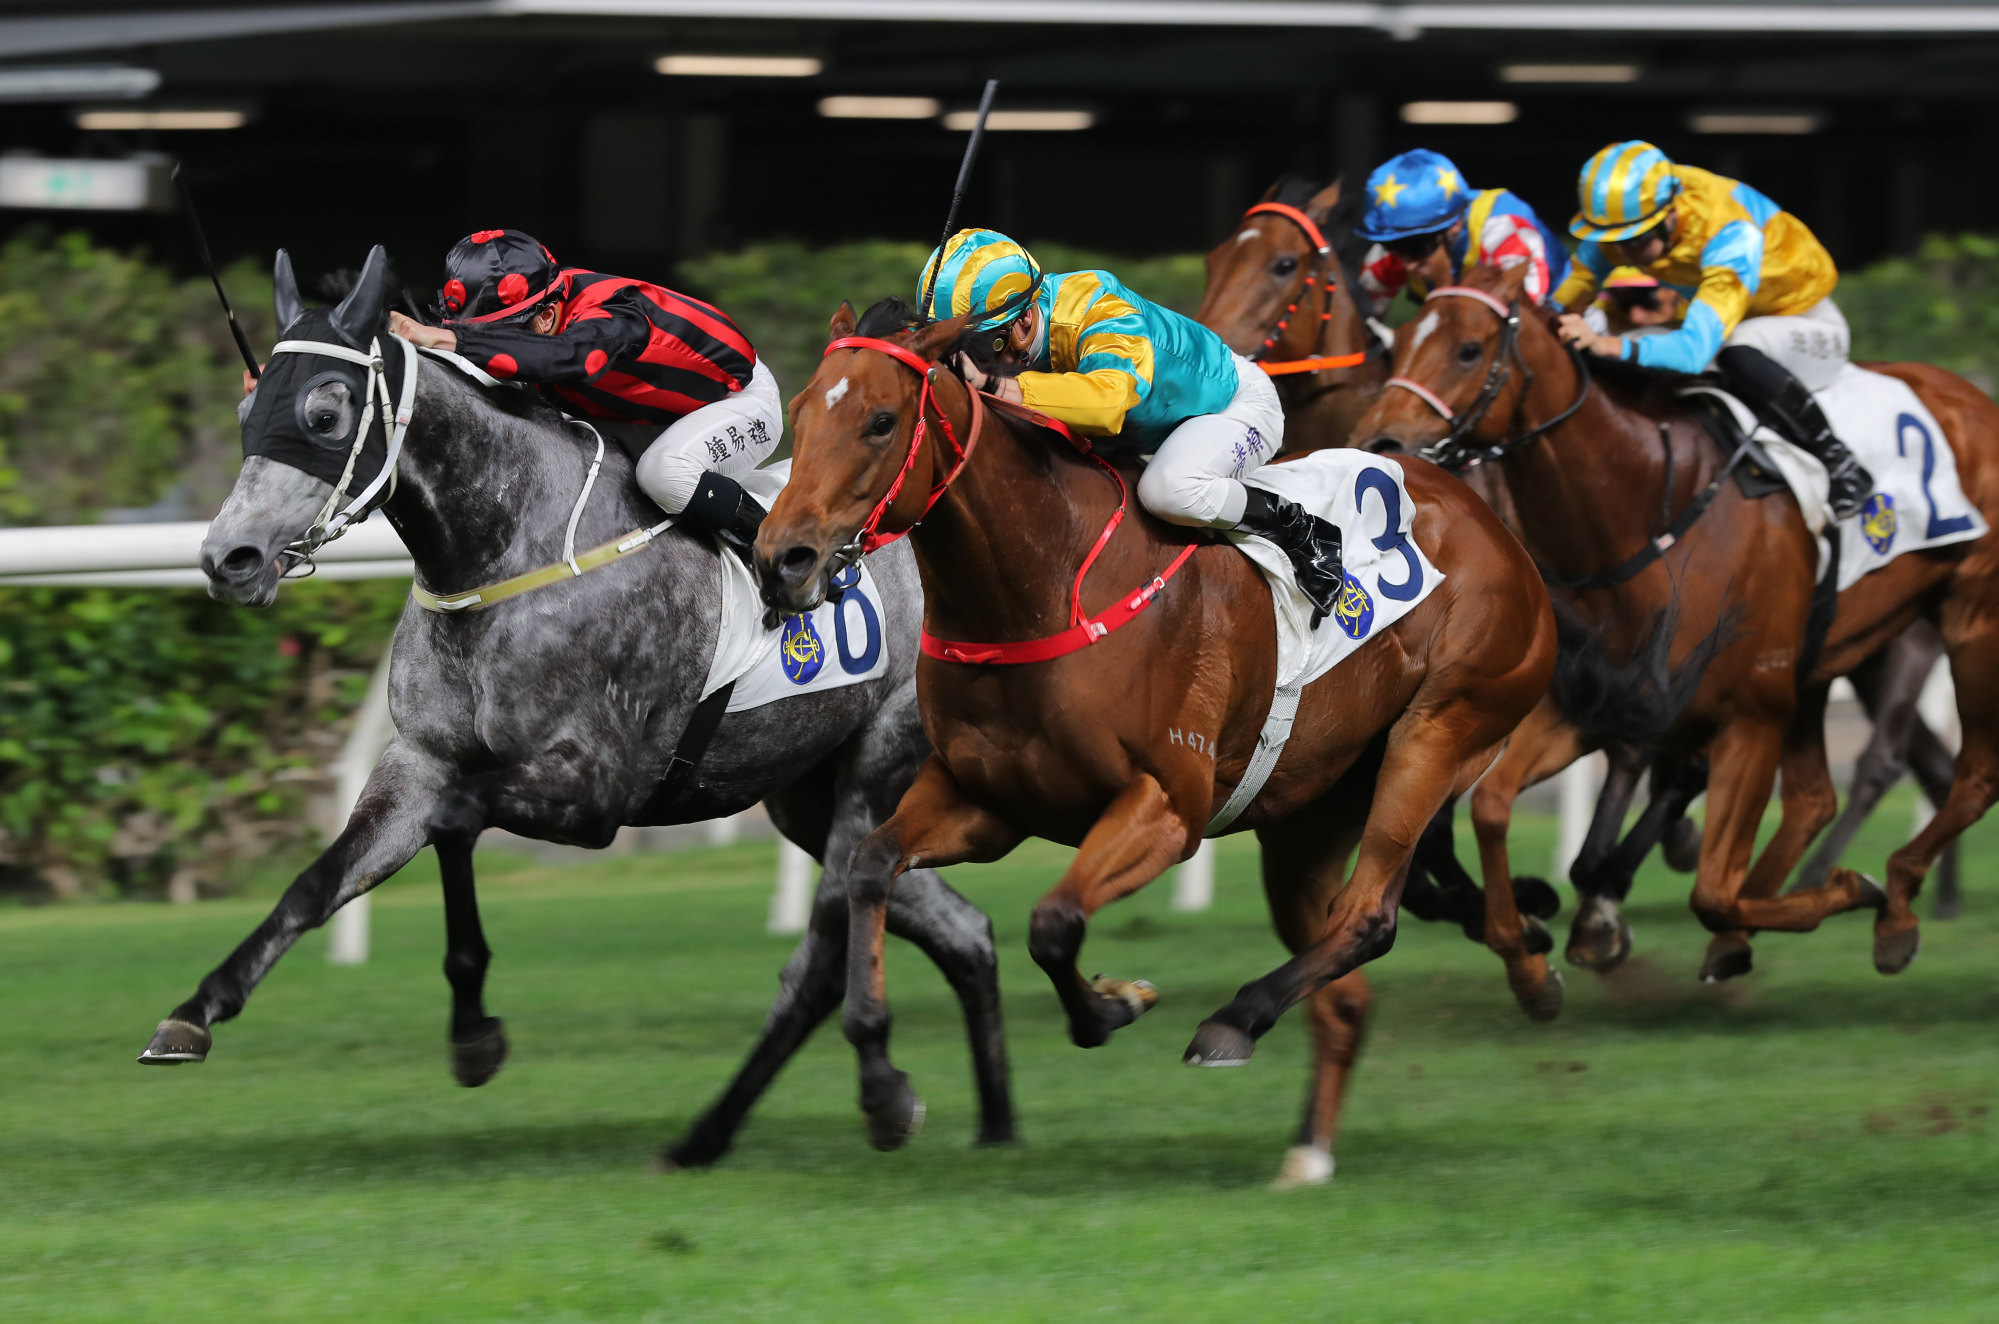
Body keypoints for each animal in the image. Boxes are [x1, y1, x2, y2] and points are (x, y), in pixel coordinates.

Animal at [136, 249, 1015, 1176]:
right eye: (248, 404)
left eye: (325, 411)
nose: (228, 558)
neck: (508, 551)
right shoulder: (420, 758)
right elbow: (321, 879)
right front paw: (196, 1011)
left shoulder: (596, 789)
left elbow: (457, 820)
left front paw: (474, 1033)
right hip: (808, 791)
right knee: (960, 929)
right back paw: (993, 1126)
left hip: (878, 762)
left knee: (828, 947)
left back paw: (867, 1096)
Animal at [751, 298, 1559, 1184]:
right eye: (800, 413)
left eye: (880, 421)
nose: (780, 559)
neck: (1044, 586)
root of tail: (1489, 523)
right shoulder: (983, 801)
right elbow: (868, 867)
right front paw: (883, 1087)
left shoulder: (1165, 808)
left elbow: (1054, 922)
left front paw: (1110, 1006)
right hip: (1307, 812)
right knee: (1345, 991)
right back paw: (1306, 1153)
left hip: (1442, 725)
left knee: (1368, 917)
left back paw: (1238, 1020)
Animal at [1351, 264, 1999, 980]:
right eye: (1401, 341)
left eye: (1469, 349)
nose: (1380, 444)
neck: (1645, 509)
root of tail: (1973, 396)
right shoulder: (1602, 699)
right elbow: (1491, 809)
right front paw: (1529, 937)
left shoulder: (1744, 712)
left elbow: (1711, 891)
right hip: (1822, 662)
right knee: (1813, 799)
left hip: (1966, 622)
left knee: (1971, 773)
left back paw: (1896, 898)